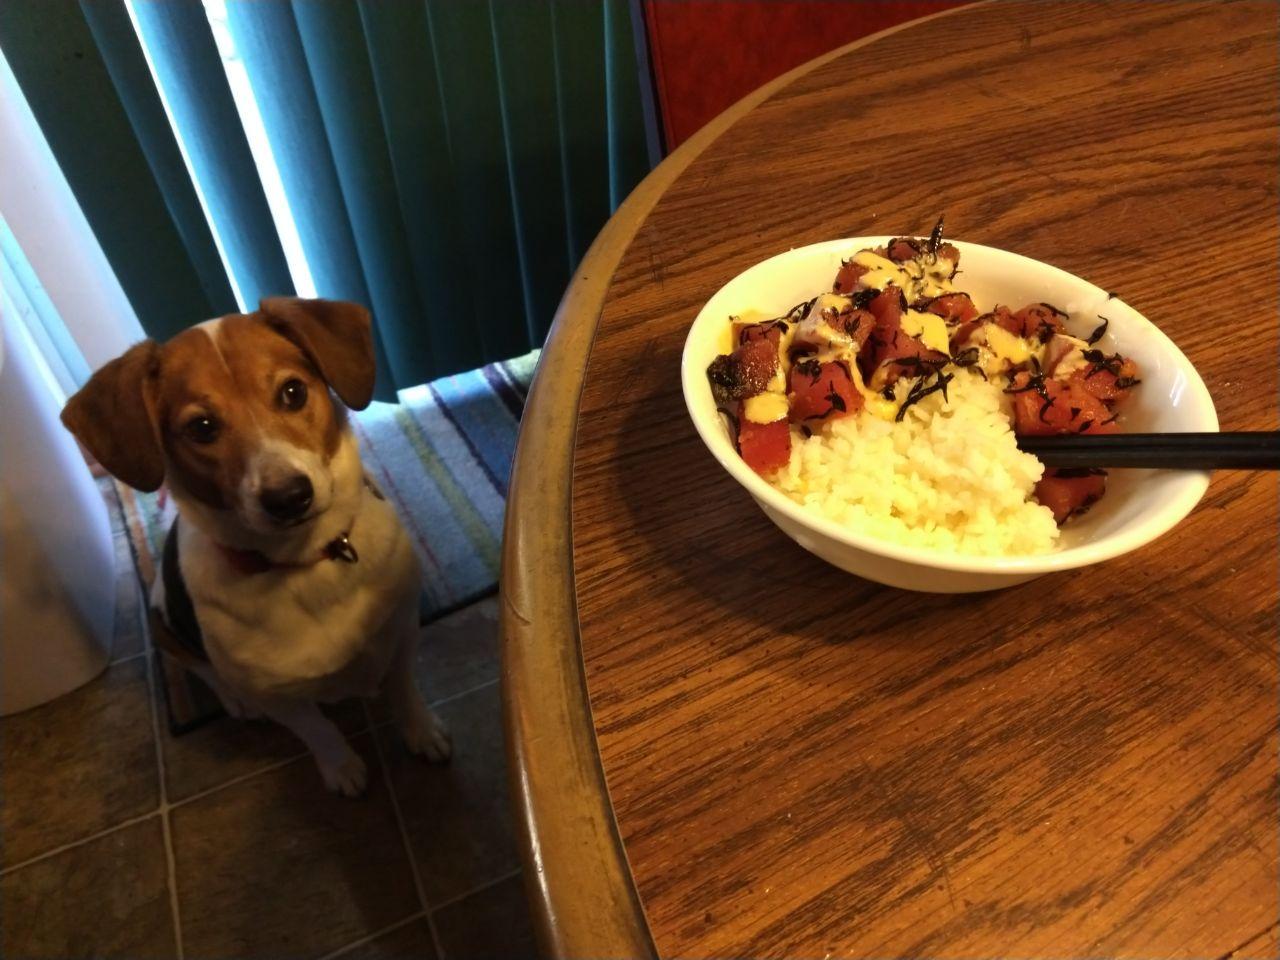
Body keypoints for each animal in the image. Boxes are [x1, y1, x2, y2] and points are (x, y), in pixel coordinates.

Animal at [61, 300, 450, 798]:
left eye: (292, 392)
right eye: (202, 427)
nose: (288, 497)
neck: (306, 562)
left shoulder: (402, 630)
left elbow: (404, 691)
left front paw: (421, 731)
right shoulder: (277, 695)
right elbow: (318, 730)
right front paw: (341, 767)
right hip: (161, 622)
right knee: (200, 666)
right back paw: (234, 700)